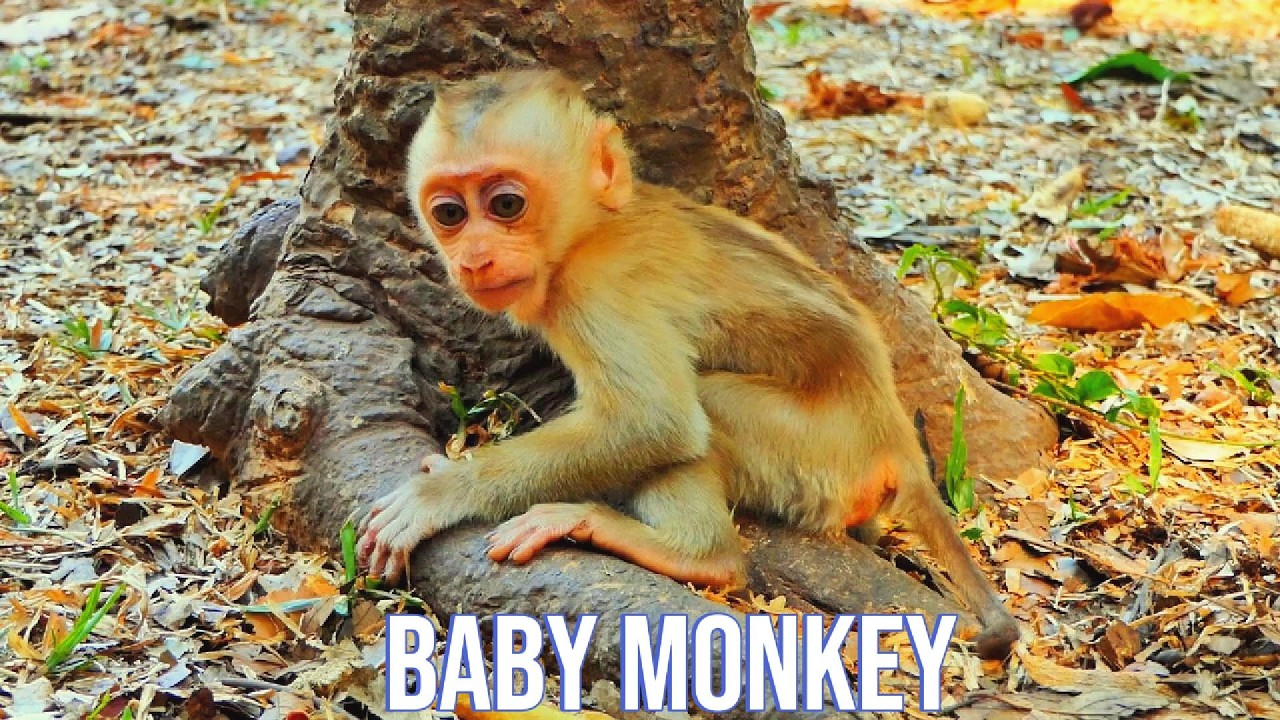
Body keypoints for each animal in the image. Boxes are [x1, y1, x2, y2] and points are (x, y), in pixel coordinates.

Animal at [357, 68, 1020, 659]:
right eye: (450, 214)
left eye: (505, 204)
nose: (473, 258)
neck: (591, 229)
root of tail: (894, 436)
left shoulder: (593, 289)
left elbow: (654, 422)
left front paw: (443, 492)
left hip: (822, 455)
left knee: (709, 407)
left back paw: (695, 554)